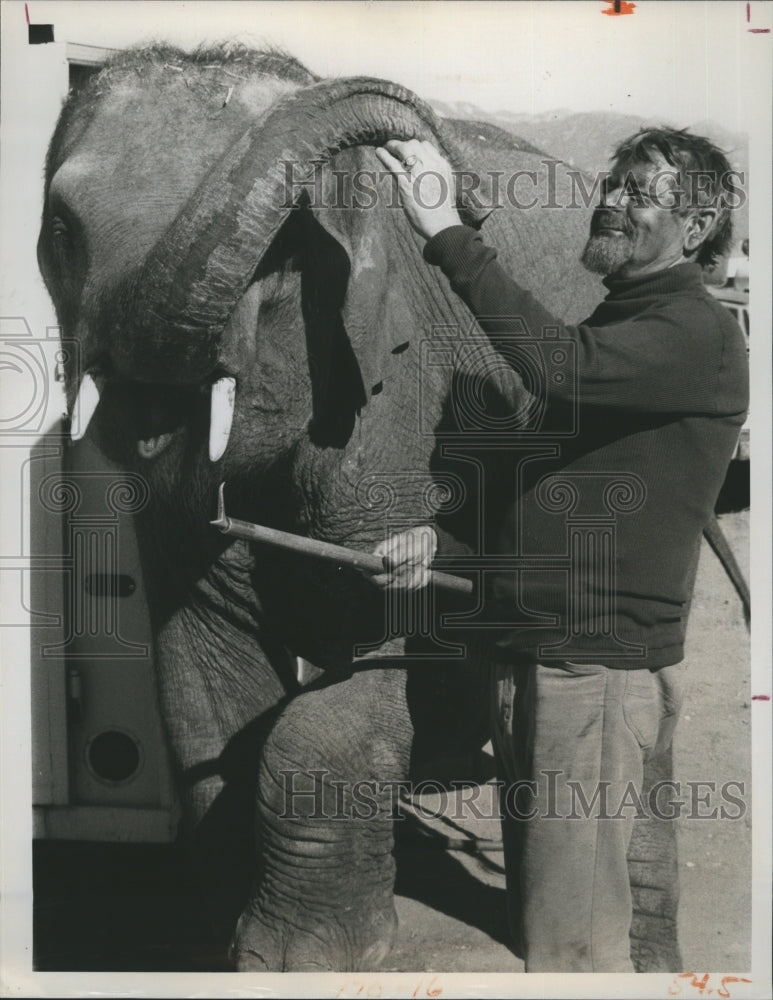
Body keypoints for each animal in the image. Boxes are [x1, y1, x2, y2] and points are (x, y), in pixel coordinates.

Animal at [37, 43, 680, 972]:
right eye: (61, 229)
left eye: (287, 244)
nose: (469, 200)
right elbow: (201, 679)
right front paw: (231, 941)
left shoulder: (395, 387)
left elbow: (370, 652)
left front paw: (305, 958)